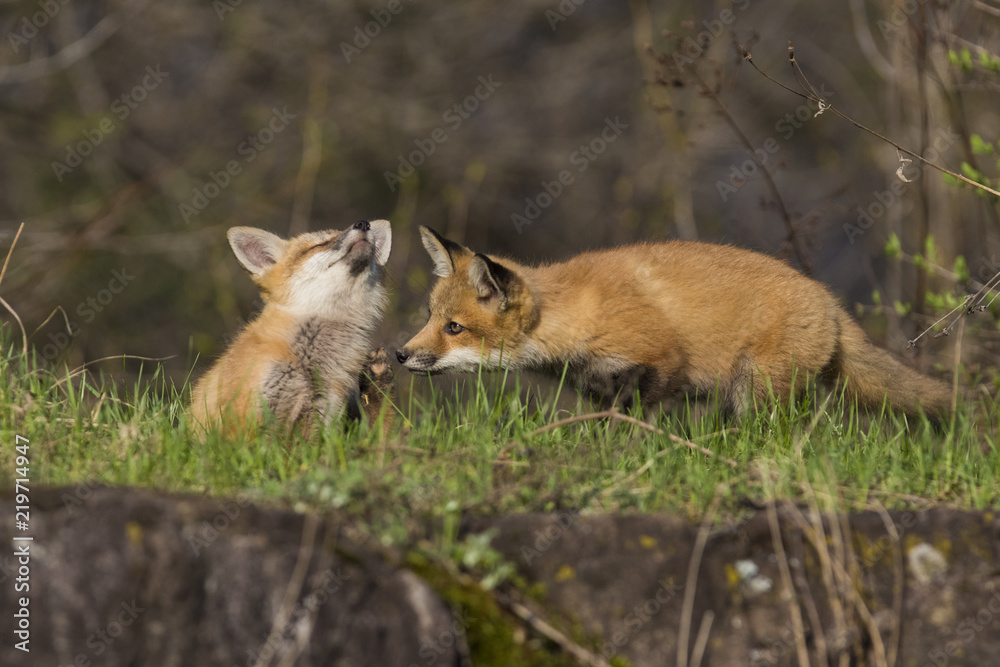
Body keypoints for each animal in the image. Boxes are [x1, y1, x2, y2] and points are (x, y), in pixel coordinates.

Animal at [396, 227, 954, 423]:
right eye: (430, 318)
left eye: (454, 328)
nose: (399, 354)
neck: (577, 315)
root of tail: (830, 300)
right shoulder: (598, 387)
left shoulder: (661, 363)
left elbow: (641, 421)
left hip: (755, 389)